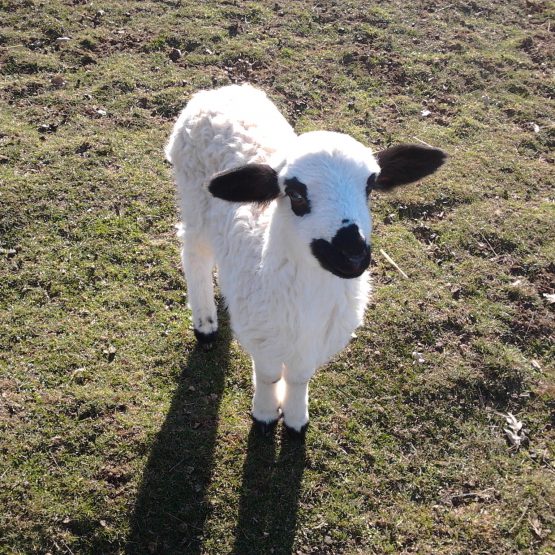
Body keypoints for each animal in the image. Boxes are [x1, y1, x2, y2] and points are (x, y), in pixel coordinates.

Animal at [166, 83, 448, 438]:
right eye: (296, 195)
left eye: (370, 187)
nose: (352, 253)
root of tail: (216, 92)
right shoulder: (265, 337)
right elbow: (270, 375)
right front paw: (265, 414)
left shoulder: (313, 342)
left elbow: (299, 378)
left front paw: (297, 418)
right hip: (193, 198)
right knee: (195, 255)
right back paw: (205, 323)